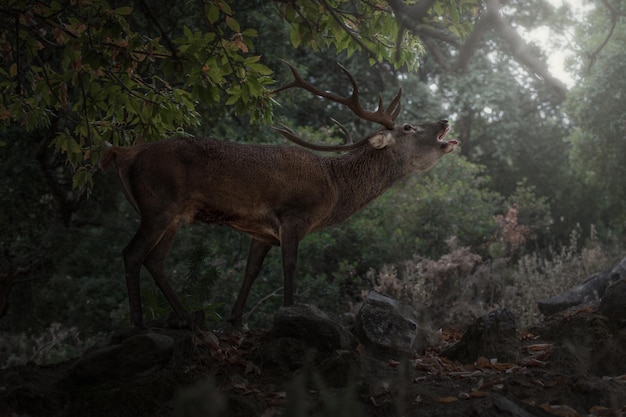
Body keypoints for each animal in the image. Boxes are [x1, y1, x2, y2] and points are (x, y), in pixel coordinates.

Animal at [100, 61, 456, 328]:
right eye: (408, 127)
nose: (444, 120)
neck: (335, 189)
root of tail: (123, 153)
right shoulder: (293, 216)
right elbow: (290, 266)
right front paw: (289, 312)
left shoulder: (261, 231)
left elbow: (251, 271)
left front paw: (234, 320)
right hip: (158, 204)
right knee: (132, 254)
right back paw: (139, 323)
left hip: (172, 215)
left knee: (155, 260)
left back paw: (188, 319)